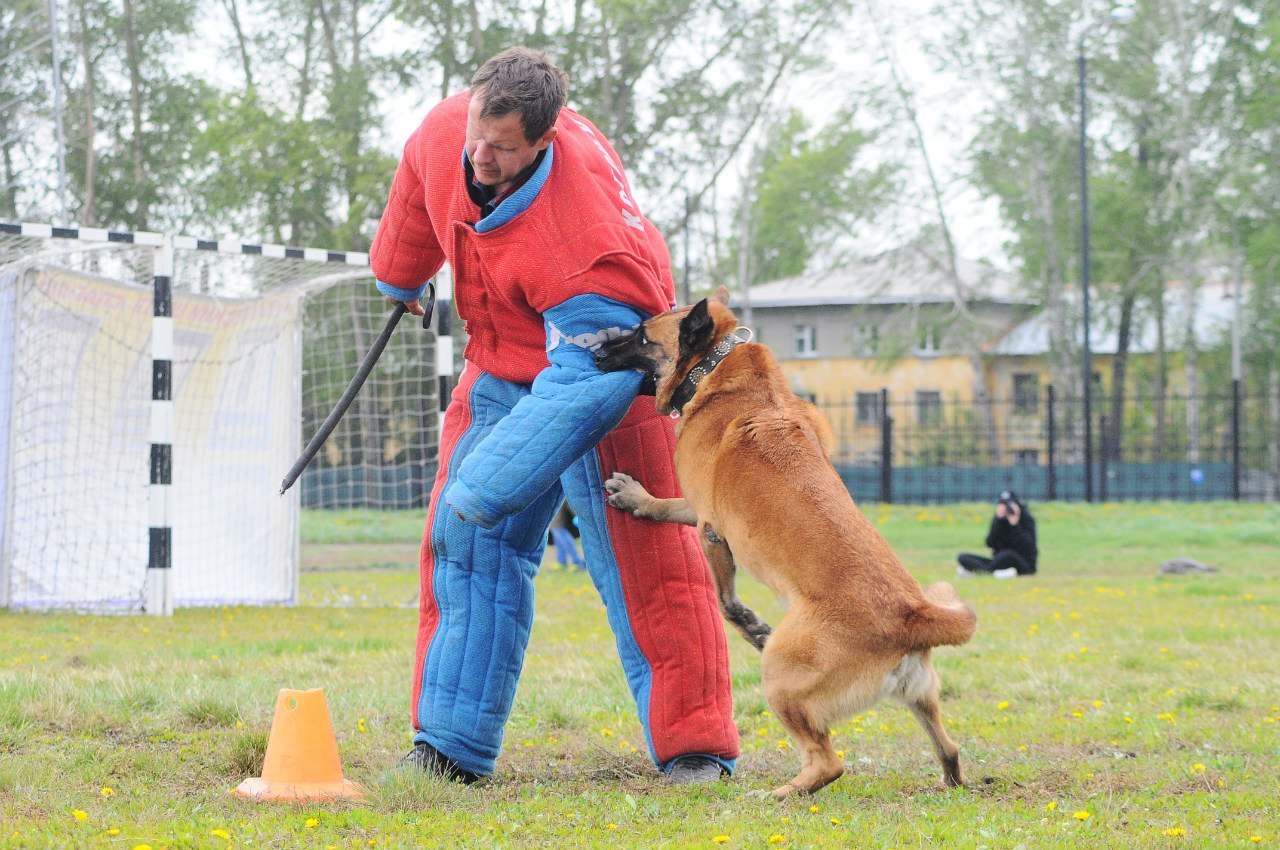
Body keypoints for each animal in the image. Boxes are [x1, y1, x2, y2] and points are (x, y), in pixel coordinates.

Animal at [593, 285, 972, 798]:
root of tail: (912, 617)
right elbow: (671, 510)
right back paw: (947, 780)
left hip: (781, 678)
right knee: (949, 748)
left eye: (641, 335)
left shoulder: (712, 528)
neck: (715, 366)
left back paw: (778, 794)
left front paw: (753, 626)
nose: (595, 350)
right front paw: (639, 499)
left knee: (828, 763)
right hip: (921, 697)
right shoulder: (701, 512)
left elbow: (726, 602)